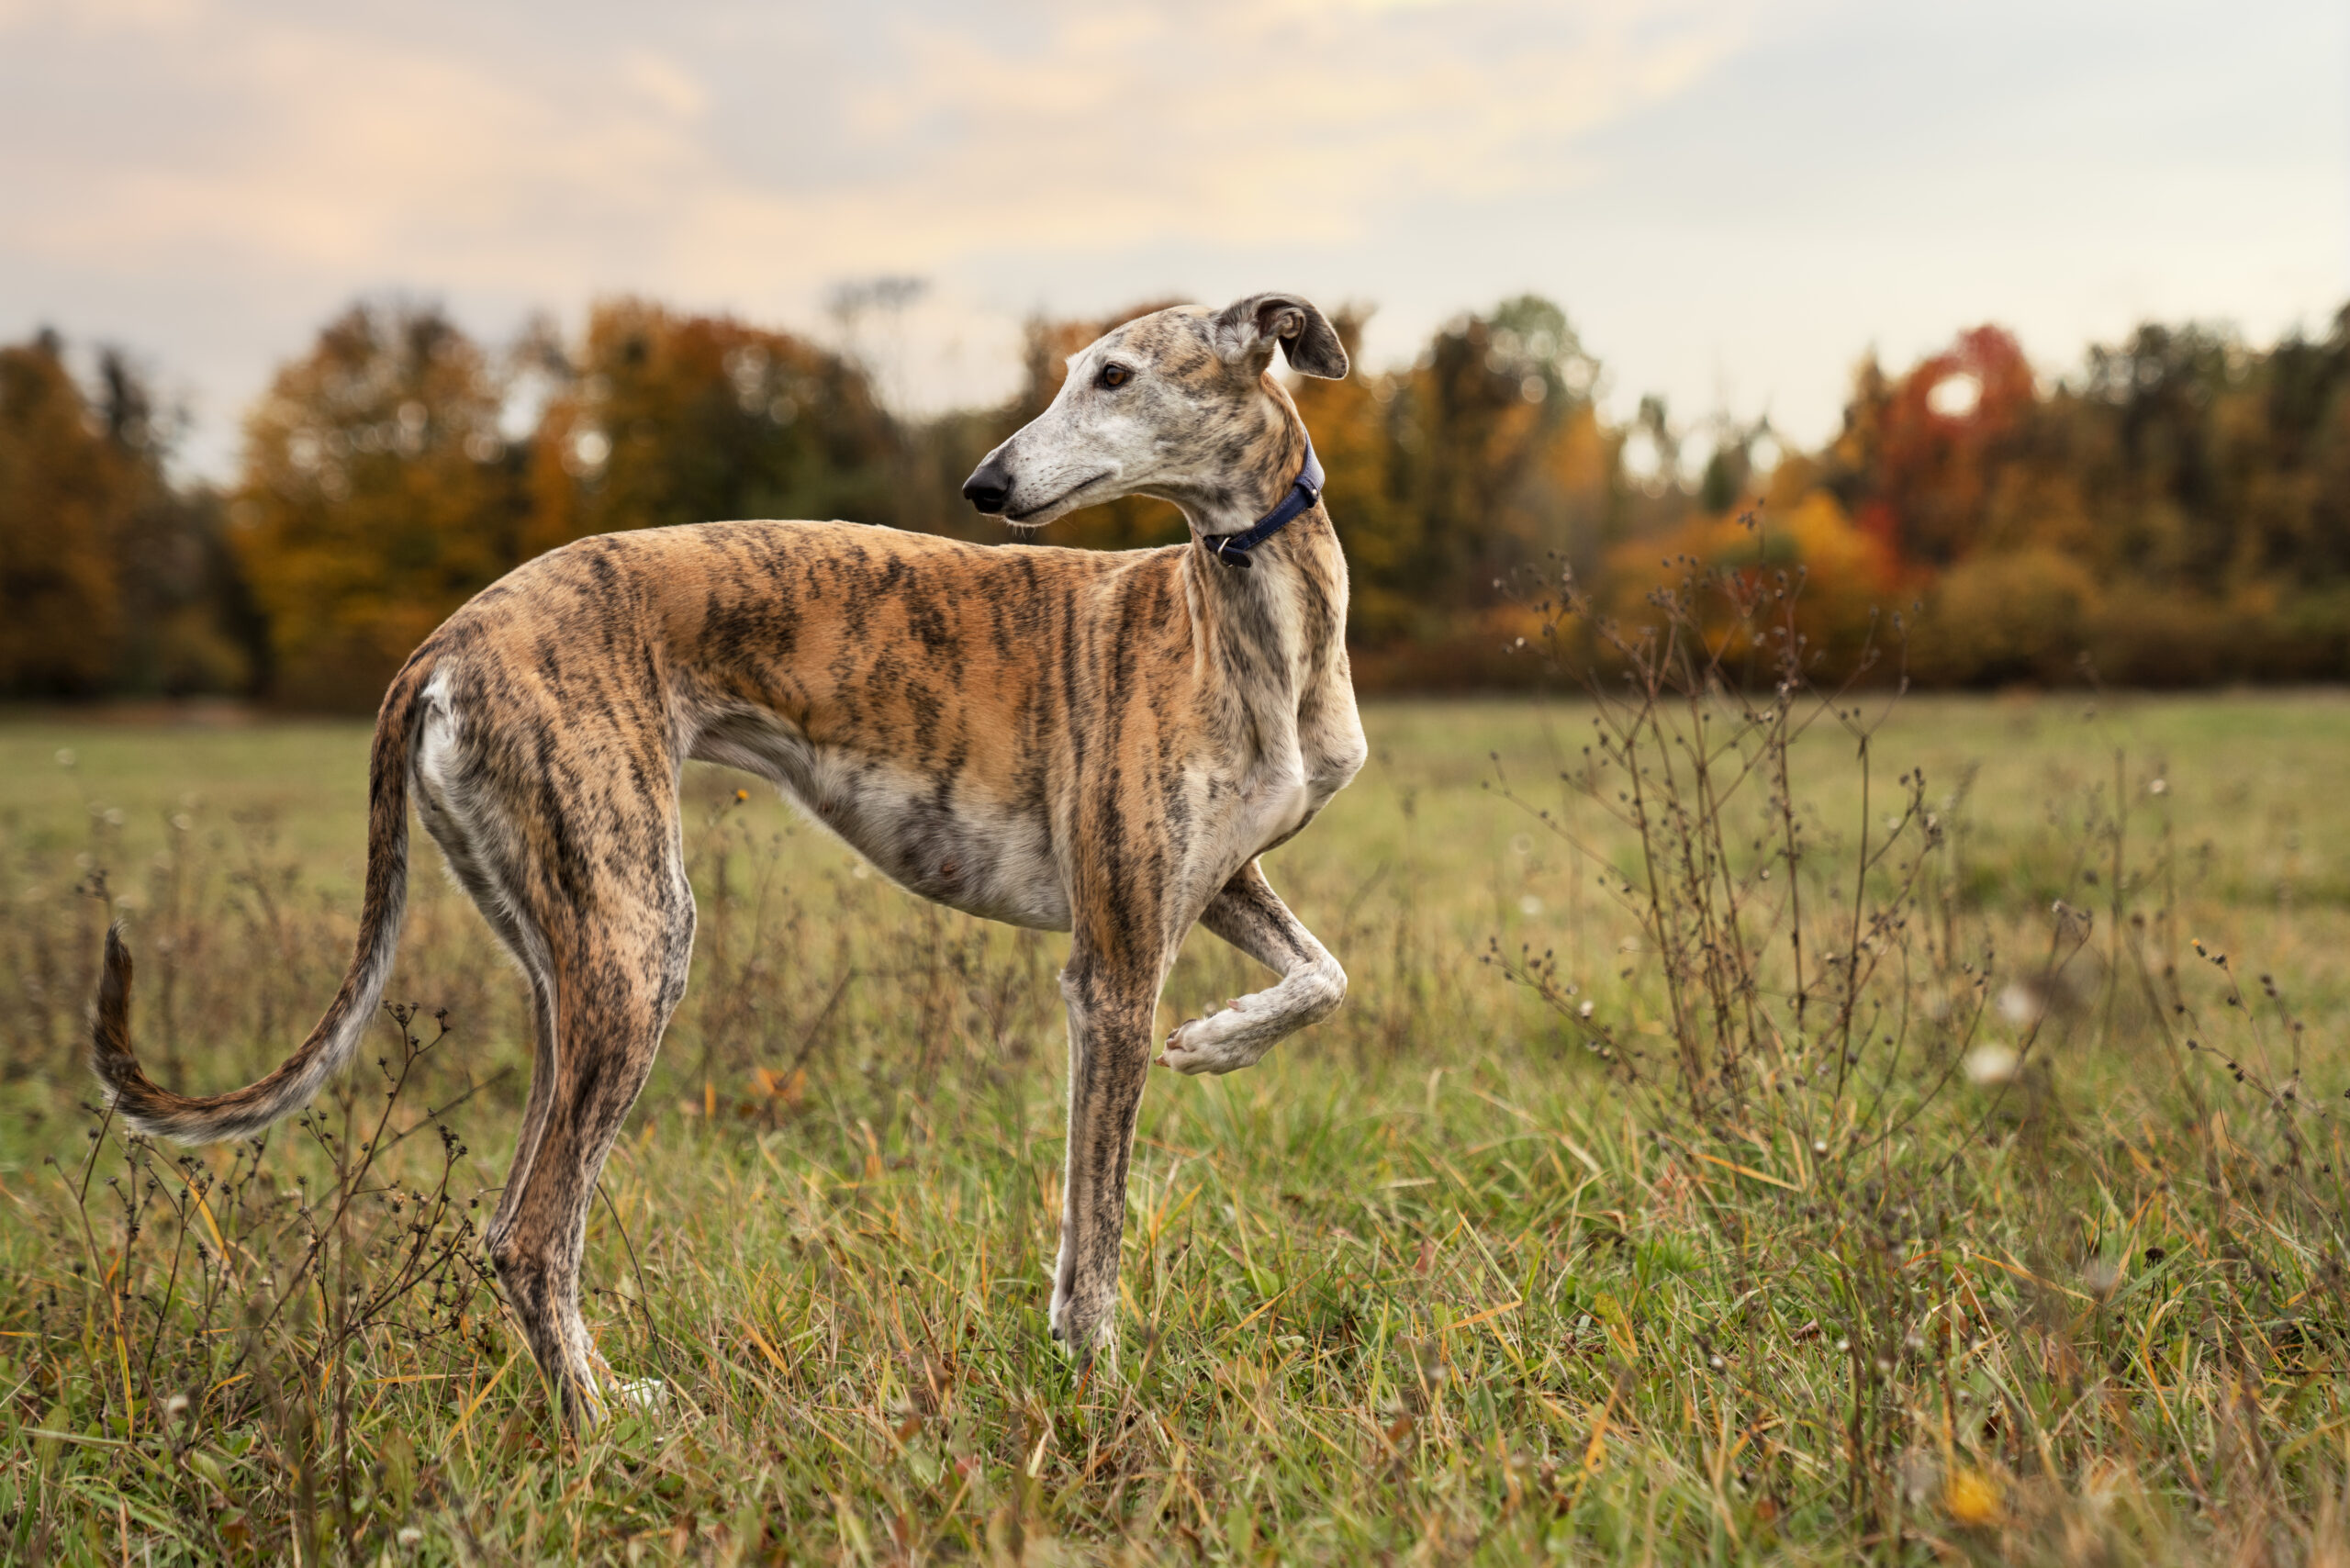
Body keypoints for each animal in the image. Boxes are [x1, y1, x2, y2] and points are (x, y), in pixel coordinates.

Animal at [91, 287, 1372, 1428]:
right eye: (1076, 373)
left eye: (1113, 375)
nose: (986, 485)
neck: (1247, 620)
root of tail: (449, 638)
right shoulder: (1111, 966)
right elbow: (1093, 1232)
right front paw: (1094, 1386)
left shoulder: (1215, 882)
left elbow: (1325, 974)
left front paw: (1219, 1038)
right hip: (640, 936)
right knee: (533, 1232)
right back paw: (601, 1425)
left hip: (570, 961)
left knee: (515, 1219)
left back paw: (603, 1393)